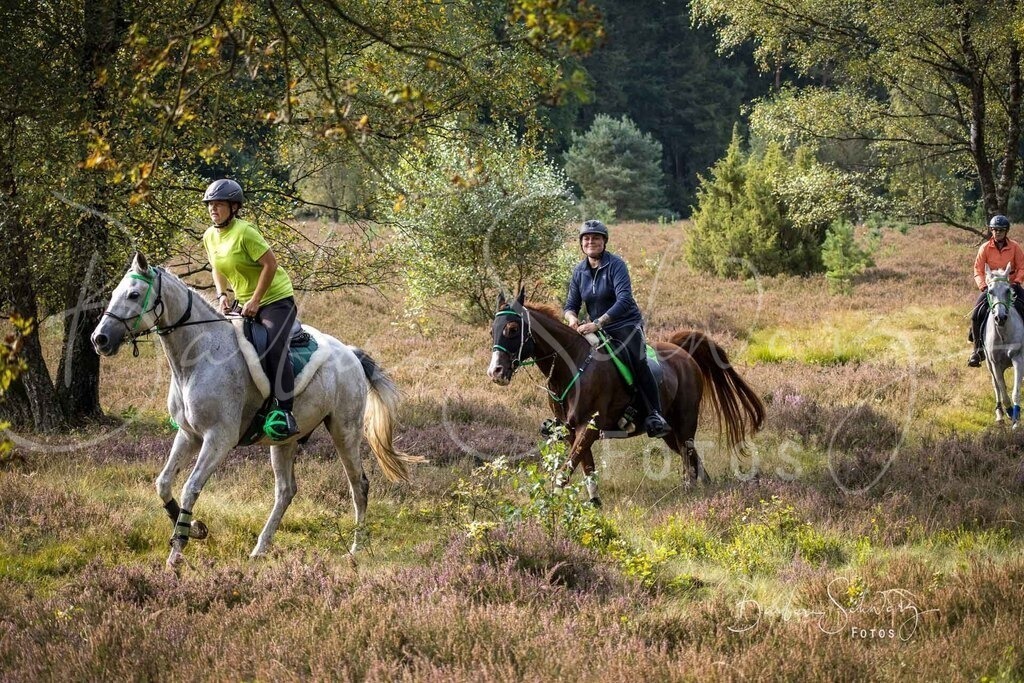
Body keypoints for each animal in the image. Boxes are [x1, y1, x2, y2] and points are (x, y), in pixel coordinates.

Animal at [91, 252, 419, 568]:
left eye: (134, 294)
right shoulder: (189, 435)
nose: (100, 339)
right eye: (114, 293)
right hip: (285, 441)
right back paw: (260, 549)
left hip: (344, 430)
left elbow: (190, 487)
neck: (199, 358)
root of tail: (349, 353)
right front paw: (194, 528)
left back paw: (354, 551)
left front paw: (177, 551)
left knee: (358, 485)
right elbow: (164, 483)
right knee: (286, 490)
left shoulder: (218, 439)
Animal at [486, 288, 764, 503]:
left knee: (688, 455)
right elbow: (586, 466)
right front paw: (594, 504)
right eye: (492, 331)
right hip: (671, 433)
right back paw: (701, 487)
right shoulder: (573, 430)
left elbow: (567, 468)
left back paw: (690, 490)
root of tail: (682, 351)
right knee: (694, 458)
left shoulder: (590, 425)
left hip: (684, 423)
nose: (495, 372)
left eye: (512, 329)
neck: (573, 365)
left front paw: (550, 504)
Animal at [982, 264, 1024, 428]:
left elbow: (1015, 392)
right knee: (996, 387)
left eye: (1007, 290)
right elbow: (1003, 390)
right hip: (989, 365)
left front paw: (1016, 421)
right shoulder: (995, 364)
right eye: (990, 291)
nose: (1000, 318)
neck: (1003, 333)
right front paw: (1010, 412)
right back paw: (999, 415)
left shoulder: (1018, 359)